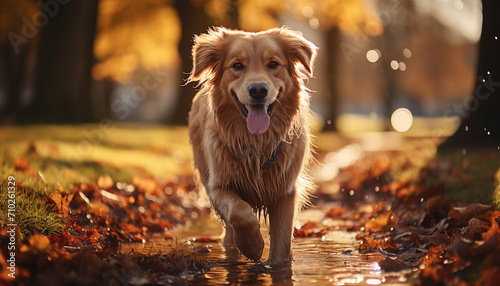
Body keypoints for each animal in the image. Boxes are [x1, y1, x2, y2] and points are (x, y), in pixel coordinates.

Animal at [188, 26, 316, 264]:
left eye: (273, 64)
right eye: (237, 65)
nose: (258, 90)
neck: (257, 143)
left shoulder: (286, 191)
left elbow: (282, 241)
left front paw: (276, 264)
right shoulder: (217, 185)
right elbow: (239, 211)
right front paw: (253, 246)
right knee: (229, 228)